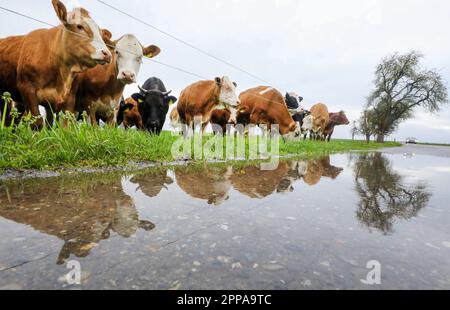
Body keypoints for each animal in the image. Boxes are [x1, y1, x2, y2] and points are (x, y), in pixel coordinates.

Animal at [0, 0, 111, 128]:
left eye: (100, 32)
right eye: (79, 26)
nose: (107, 54)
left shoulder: (69, 99)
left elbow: (64, 126)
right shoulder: (27, 90)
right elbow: (38, 123)